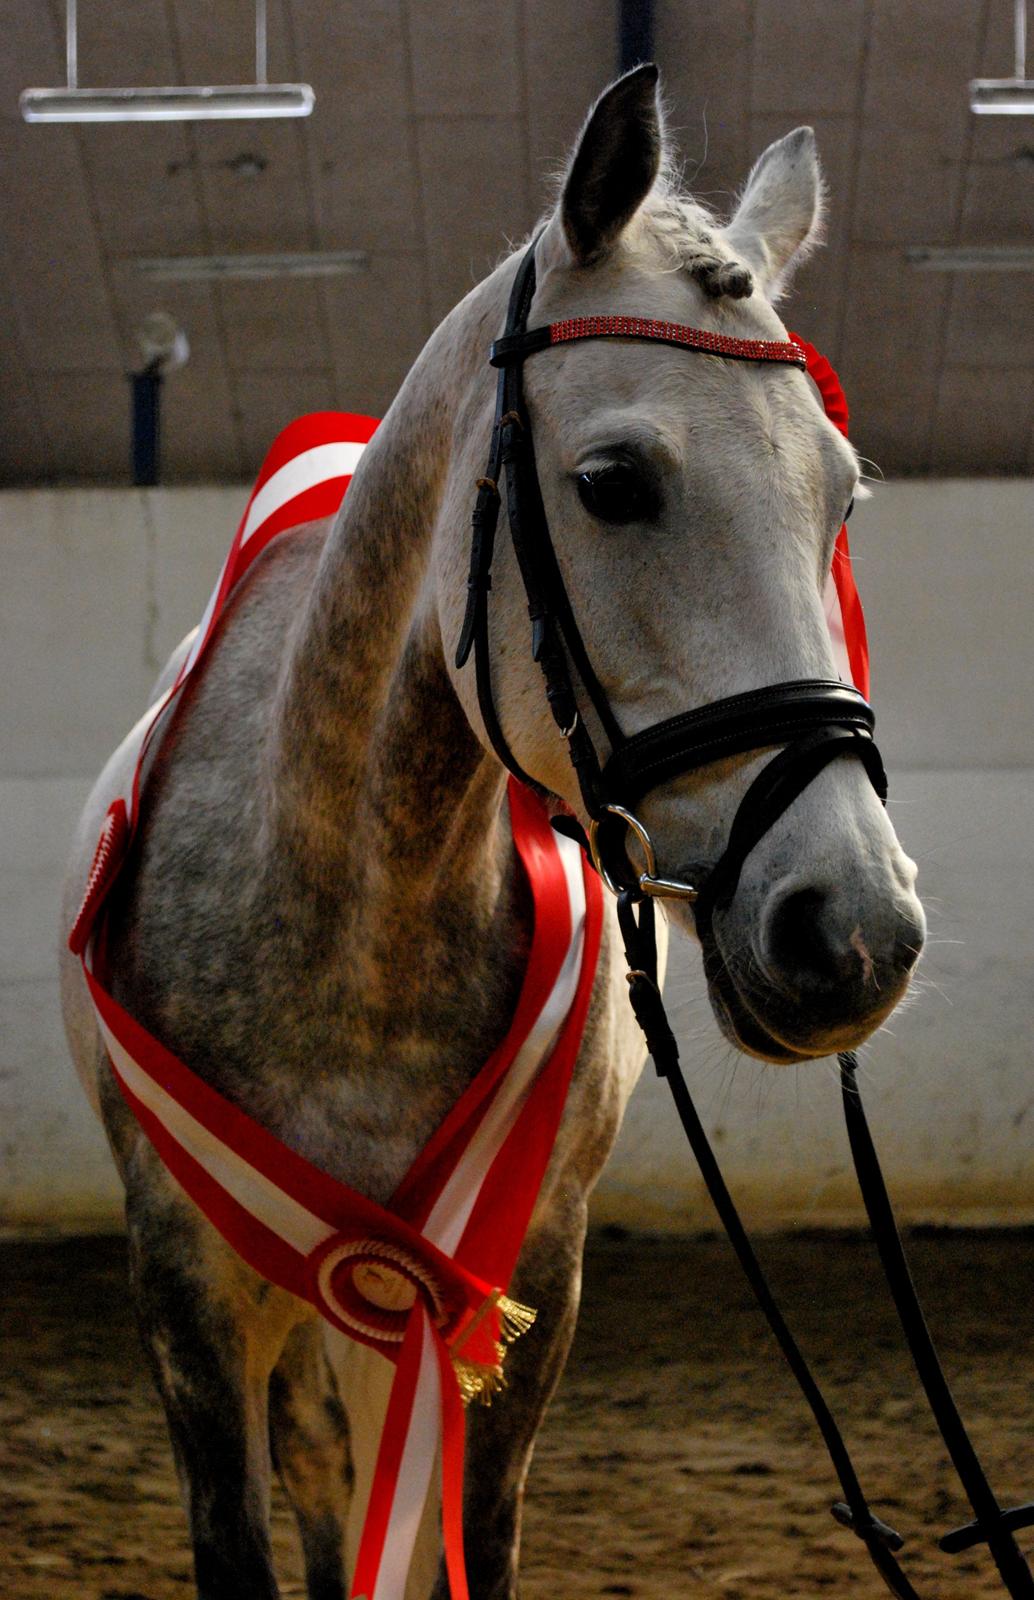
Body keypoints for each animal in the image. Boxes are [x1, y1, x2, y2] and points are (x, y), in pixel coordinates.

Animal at [60, 65, 928, 1600]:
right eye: (612, 481)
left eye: (839, 496)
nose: (856, 929)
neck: (354, 916)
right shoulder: (191, 1304)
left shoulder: (521, 1285)